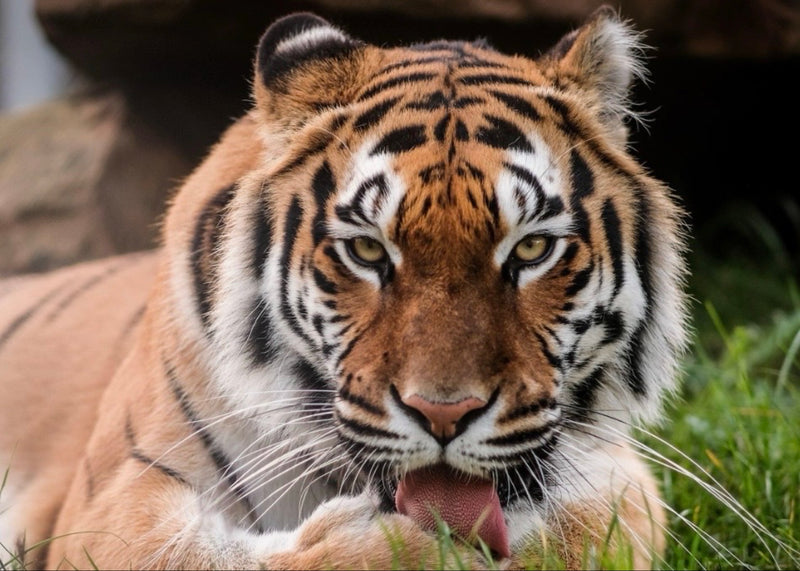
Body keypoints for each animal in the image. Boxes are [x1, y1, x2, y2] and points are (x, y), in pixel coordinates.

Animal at [0, 6, 688, 570]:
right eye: (366, 250)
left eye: (532, 249)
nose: (444, 415)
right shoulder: (113, 499)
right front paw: (407, 542)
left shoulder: (621, 471)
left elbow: (584, 529)